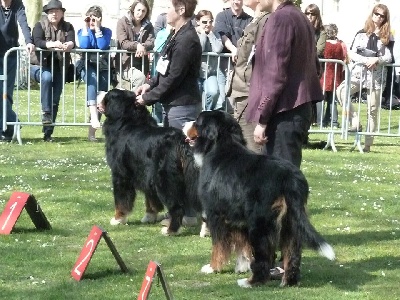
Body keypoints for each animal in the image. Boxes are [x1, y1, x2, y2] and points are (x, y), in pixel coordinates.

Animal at [100, 88, 200, 236]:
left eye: (107, 96)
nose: (99, 92)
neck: (126, 122)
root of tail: (180, 140)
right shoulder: (146, 172)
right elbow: (150, 198)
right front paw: (149, 216)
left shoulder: (120, 174)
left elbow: (121, 199)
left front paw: (118, 219)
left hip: (165, 180)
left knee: (177, 208)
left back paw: (170, 230)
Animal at [186, 110, 336, 288]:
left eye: (197, 122)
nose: (185, 124)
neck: (221, 144)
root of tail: (288, 177)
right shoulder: (237, 217)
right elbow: (241, 244)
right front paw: (242, 266)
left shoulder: (216, 214)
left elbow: (219, 245)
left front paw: (212, 267)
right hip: (291, 222)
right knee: (292, 254)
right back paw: (288, 281)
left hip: (260, 222)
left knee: (264, 256)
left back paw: (251, 282)